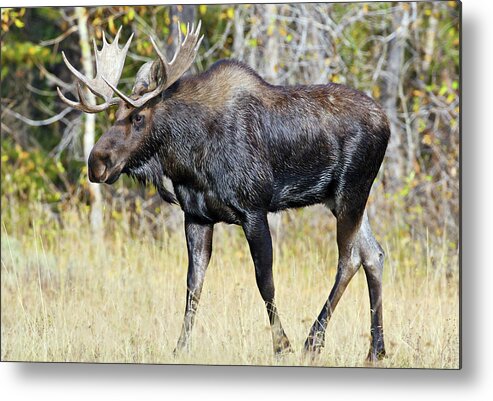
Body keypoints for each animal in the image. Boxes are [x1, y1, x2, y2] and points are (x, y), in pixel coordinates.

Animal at [57, 21, 388, 360]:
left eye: (139, 117)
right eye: (114, 116)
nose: (96, 163)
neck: (190, 159)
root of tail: (386, 121)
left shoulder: (254, 210)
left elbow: (265, 281)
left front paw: (282, 345)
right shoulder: (196, 217)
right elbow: (193, 285)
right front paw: (180, 348)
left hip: (351, 191)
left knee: (349, 259)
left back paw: (313, 341)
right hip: (339, 199)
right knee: (373, 254)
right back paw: (375, 349)